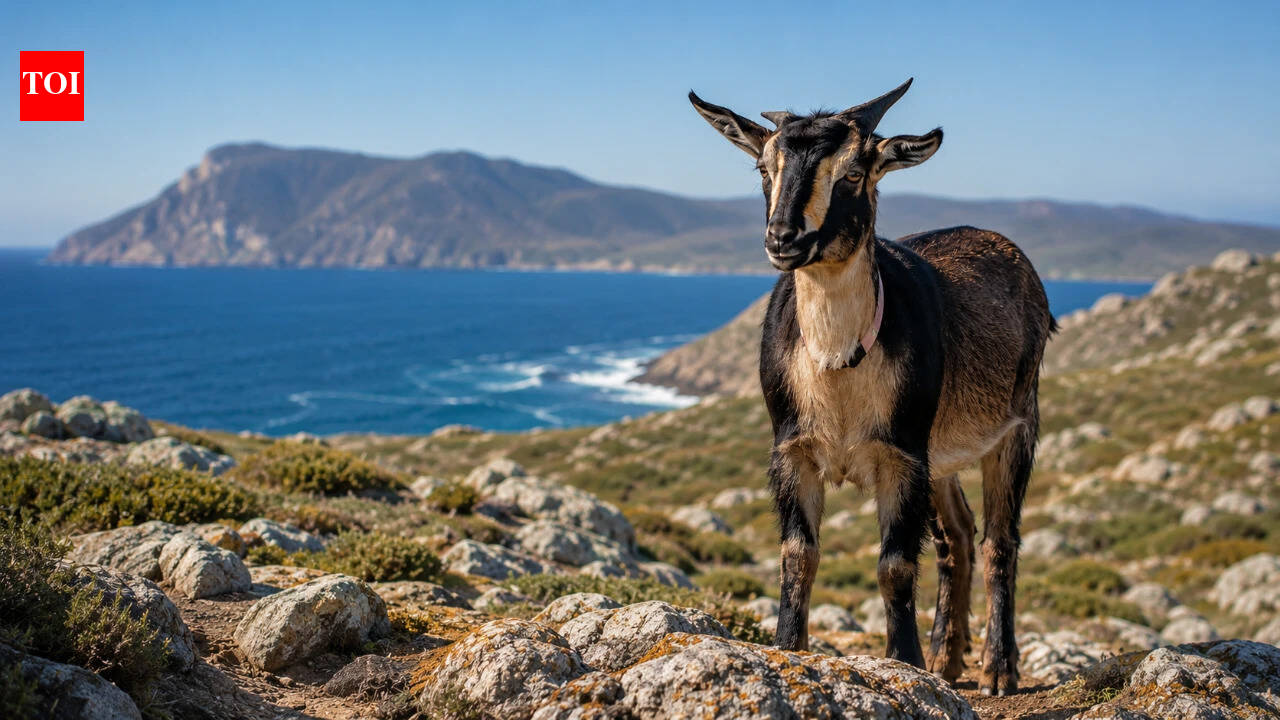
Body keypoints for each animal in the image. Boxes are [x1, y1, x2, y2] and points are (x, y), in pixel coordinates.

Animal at [689, 79, 1054, 696]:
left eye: (855, 172)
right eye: (764, 166)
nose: (784, 238)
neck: (838, 369)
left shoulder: (901, 454)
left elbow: (894, 565)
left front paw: (902, 660)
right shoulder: (793, 449)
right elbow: (798, 555)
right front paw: (789, 649)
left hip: (1016, 424)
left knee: (998, 541)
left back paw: (997, 669)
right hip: (941, 454)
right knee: (957, 536)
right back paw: (945, 659)